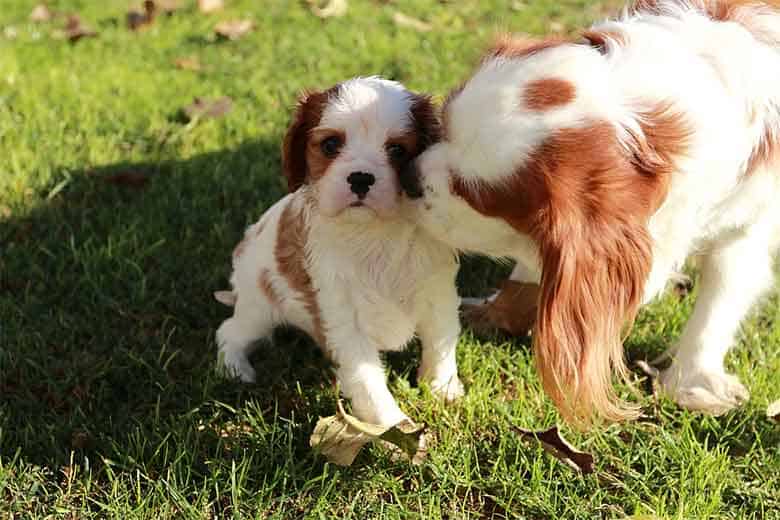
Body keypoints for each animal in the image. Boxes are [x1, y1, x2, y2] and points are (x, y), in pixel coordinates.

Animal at [213, 76, 464, 426]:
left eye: (397, 150)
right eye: (330, 145)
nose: (360, 177)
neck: (375, 234)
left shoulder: (437, 295)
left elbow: (441, 341)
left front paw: (442, 387)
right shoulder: (345, 319)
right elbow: (368, 382)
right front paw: (393, 427)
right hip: (259, 308)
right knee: (229, 331)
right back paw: (235, 368)